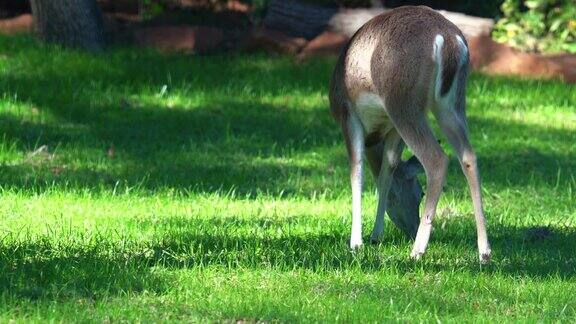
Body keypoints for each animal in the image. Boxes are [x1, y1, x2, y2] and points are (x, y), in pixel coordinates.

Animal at [328, 5, 490, 264]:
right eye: (417, 191)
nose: (411, 228)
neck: (375, 136)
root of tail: (448, 40)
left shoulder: (348, 113)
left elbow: (357, 172)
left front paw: (356, 242)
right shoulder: (391, 128)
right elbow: (387, 172)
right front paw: (375, 235)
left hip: (403, 101)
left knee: (437, 159)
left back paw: (417, 250)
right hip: (450, 103)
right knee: (469, 156)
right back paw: (484, 251)